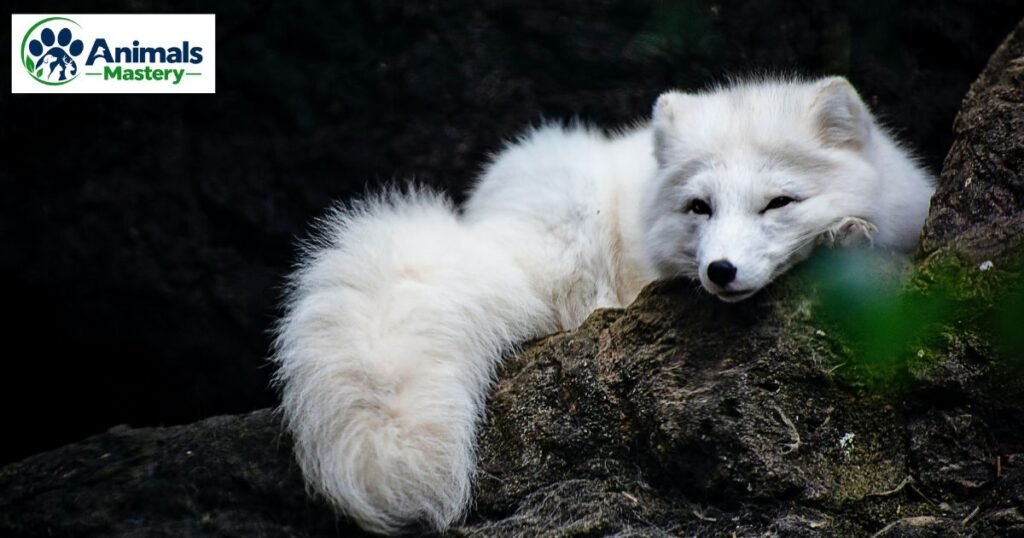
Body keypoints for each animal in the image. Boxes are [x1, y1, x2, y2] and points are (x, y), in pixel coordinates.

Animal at [273, 76, 935, 534]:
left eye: (779, 202)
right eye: (700, 206)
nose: (719, 271)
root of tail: (488, 227)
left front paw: (846, 232)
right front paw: (841, 236)